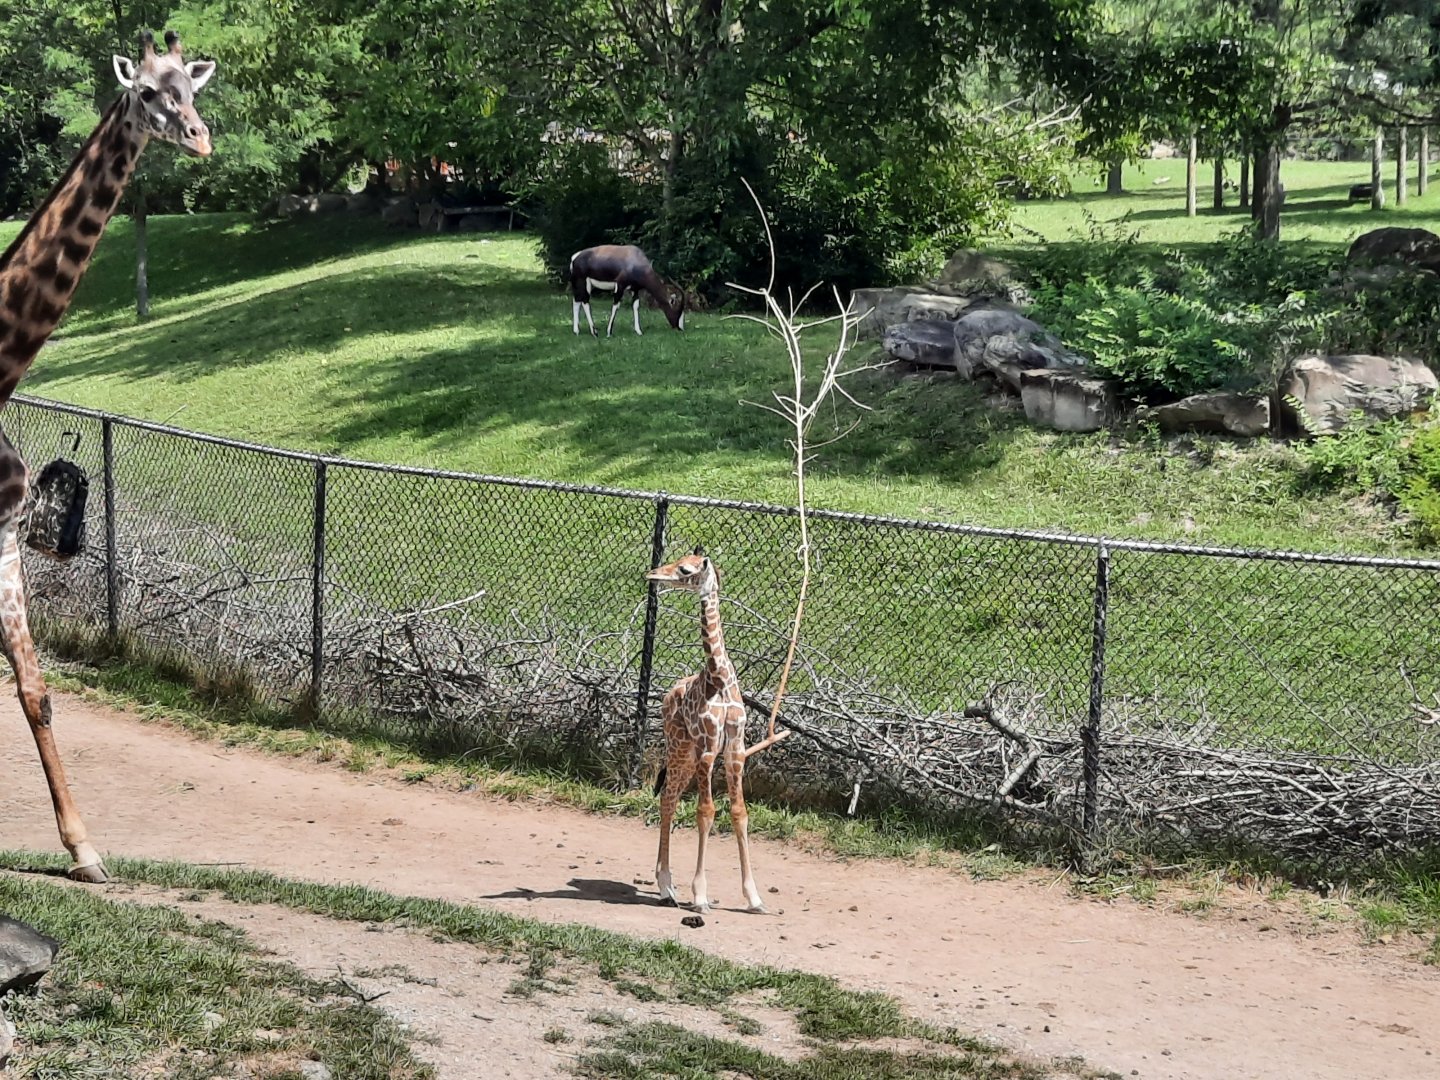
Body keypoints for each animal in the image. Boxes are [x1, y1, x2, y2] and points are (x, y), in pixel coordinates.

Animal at [0, 30, 216, 883]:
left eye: (192, 89)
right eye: (147, 94)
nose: (201, 139)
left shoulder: (0, 532)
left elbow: (34, 690)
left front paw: (85, 848)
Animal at [647, 546, 770, 913]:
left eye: (684, 569)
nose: (652, 574)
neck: (720, 679)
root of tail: (668, 694)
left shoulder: (735, 749)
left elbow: (739, 812)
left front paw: (754, 897)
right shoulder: (707, 747)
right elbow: (705, 812)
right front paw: (700, 895)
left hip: (688, 756)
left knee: (671, 796)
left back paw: (667, 886)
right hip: (679, 745)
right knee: (668, 799)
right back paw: (666, 887)